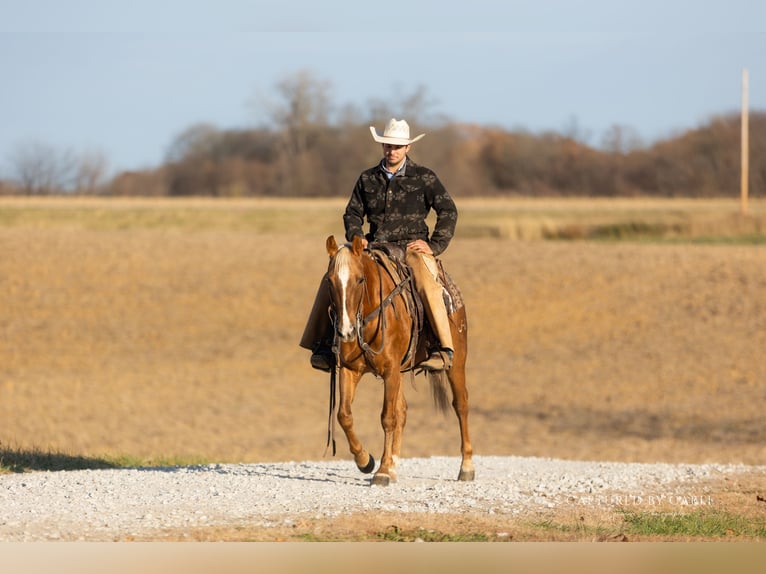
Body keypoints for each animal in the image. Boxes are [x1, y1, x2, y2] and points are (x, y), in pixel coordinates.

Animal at [324, 234, 474, 486]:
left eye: (360, 279)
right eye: (330, 281)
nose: (346, 331)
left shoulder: (390, 370)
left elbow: (388, 418)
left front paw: (382, 471)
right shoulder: (349, 369)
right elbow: (344, 415)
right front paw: (365, 461)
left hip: (457, 362)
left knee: (461, 404)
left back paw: (466, 467)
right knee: (402, 411)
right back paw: (394, 466)